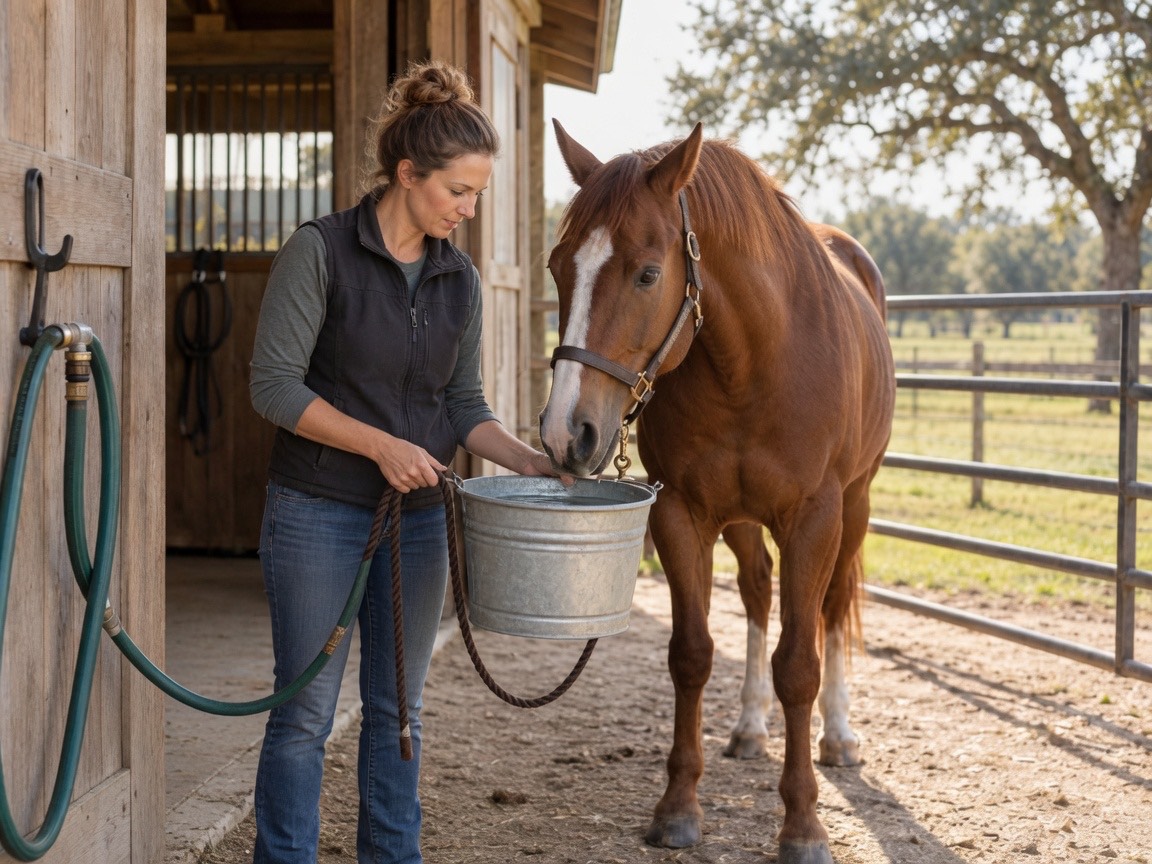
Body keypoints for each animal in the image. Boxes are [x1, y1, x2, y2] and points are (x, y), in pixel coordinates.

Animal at [538, 120, 896, 864]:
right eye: (559, 267)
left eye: (648, 273)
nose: (565, 433)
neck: (753, 360)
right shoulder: (682, 514)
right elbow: (692, 654)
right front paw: (677, 808)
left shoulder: (814, 519)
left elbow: (800, 663)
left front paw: (803, 826)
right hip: (742, 520)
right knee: (758, 592)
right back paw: (751, 726)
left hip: (854, 508)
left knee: (832, 608)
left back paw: (839, 737)